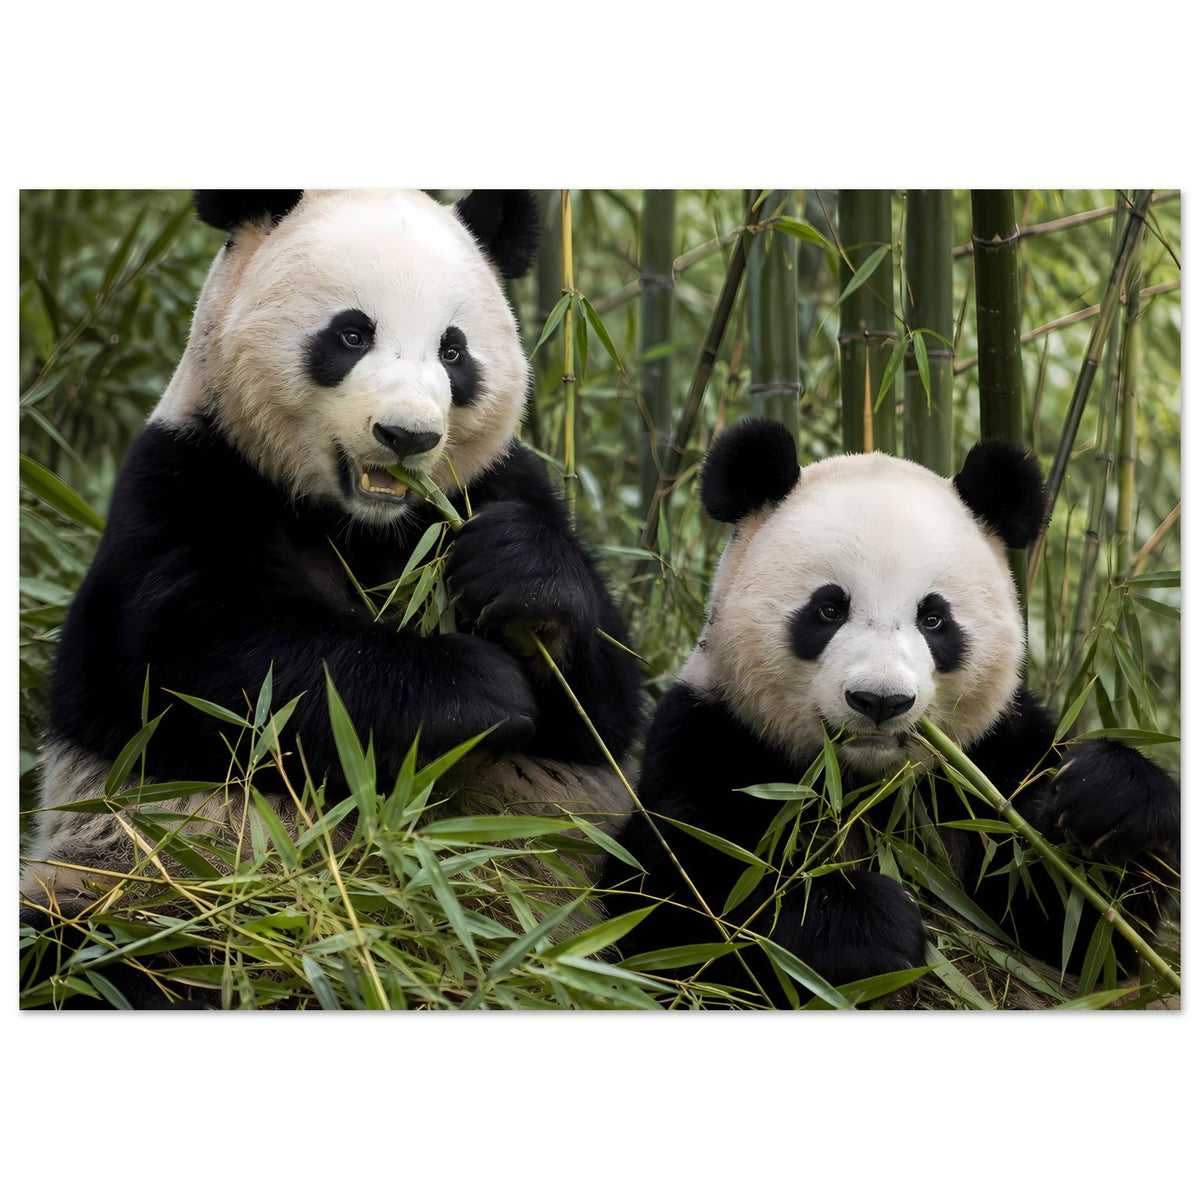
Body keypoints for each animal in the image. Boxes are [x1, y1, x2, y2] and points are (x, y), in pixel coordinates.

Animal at [21, 189, 641, 1006]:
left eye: (453, 351)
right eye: (351, 333)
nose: (406, 436)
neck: (361, 524)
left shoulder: (492, 486)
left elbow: (604, 711)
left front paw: (520, 576)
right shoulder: (184, 487)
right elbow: (217, 673)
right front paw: (479, 688)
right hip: (139, 888)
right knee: (93, 949)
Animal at [601, 417, 1179, 1007]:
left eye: (933, 618)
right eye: (829, 609)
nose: (880, 700)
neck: (866, 787)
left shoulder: (991, 758)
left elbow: (1079, 931)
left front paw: (1108, 799)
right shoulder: (712, 734)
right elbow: (680, 897)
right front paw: (866, 926)